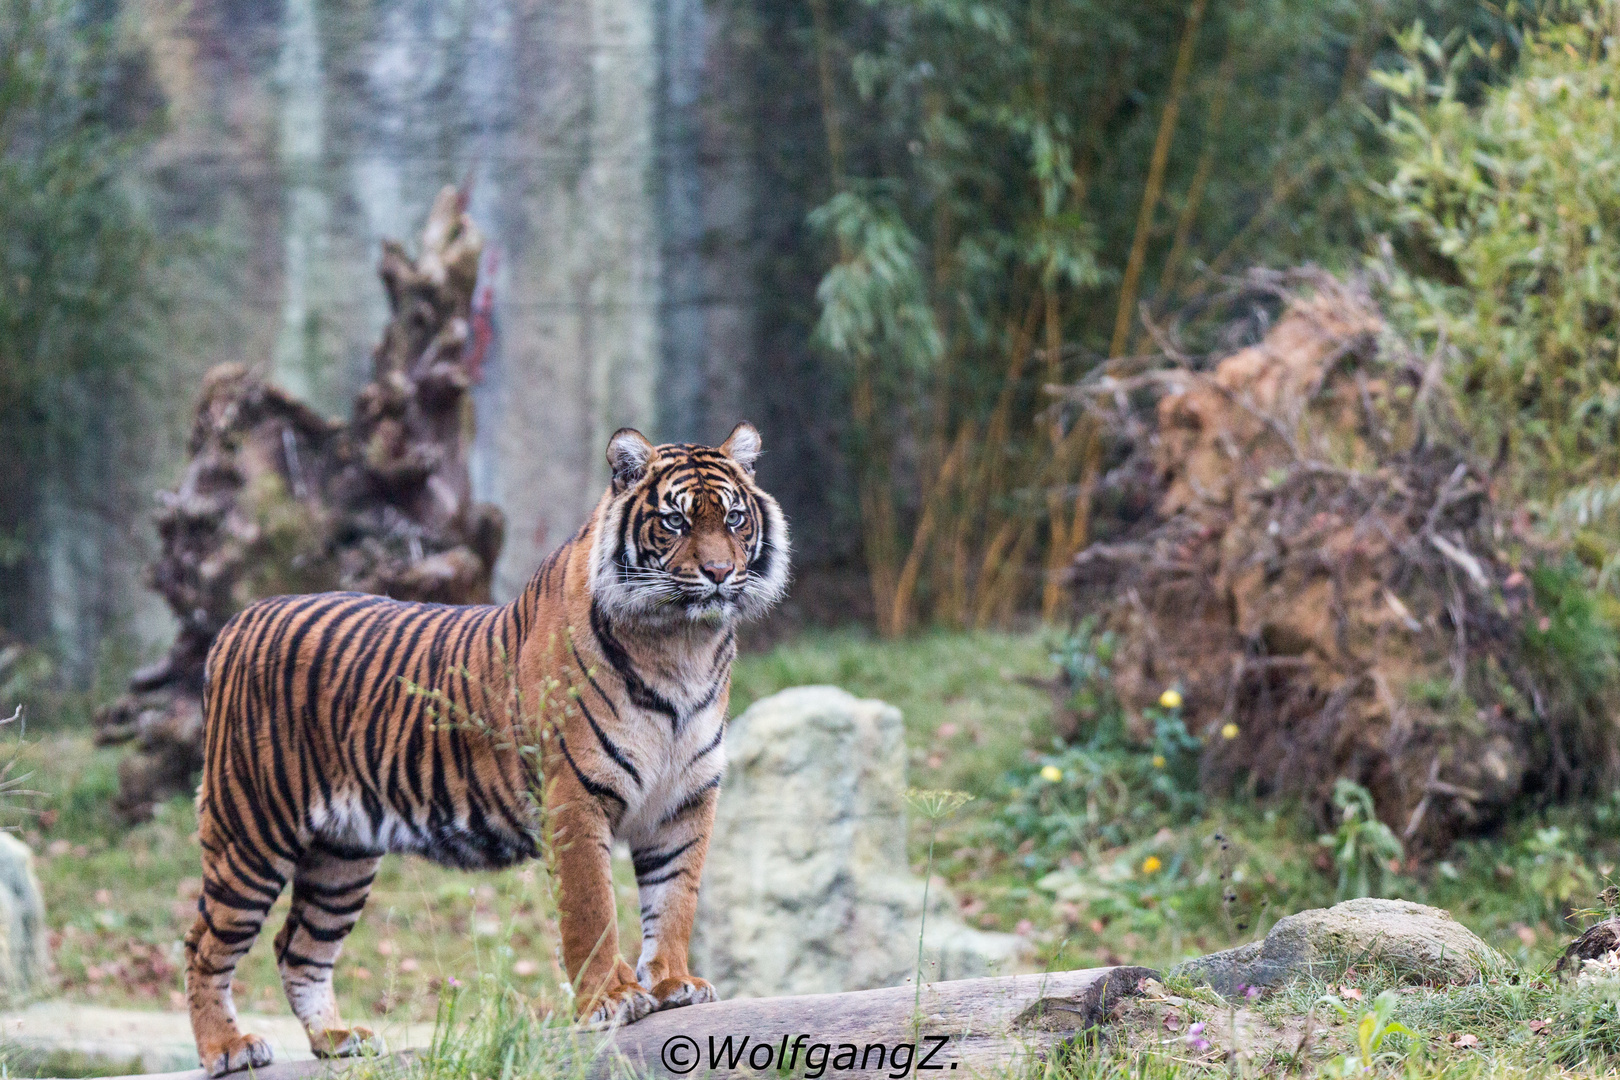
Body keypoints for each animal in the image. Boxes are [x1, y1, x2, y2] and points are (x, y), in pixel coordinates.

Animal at [183, 427, 790, 1075]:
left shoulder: (685, 800)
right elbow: (593, 911)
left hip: (341, 855)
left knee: (297, 946)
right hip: (251, 831)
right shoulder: (575, 797)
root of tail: (238, 621)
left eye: (734, 518)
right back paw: (227, 1047)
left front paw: (675, 984)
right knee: (205, 944)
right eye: (675, 522)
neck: (683, 646)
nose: (720, 572)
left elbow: (675, 900)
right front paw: (611, 998)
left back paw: (337, 1038)